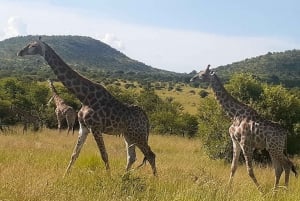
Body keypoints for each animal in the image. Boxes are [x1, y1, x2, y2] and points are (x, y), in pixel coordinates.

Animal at [17, 37, 157, 176]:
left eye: (33, 46)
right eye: (28, 44)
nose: (20, 52)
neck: (85, 97)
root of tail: (146, 118)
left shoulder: (95, 127)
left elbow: (104, 155)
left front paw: (109, 178)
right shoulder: (83, 127)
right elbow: (74, 154)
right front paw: (65, 176)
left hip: (138, 134)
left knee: (150, 154)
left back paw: (154, 179)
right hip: (129, 135)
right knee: (132, 157)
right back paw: (124, 177)